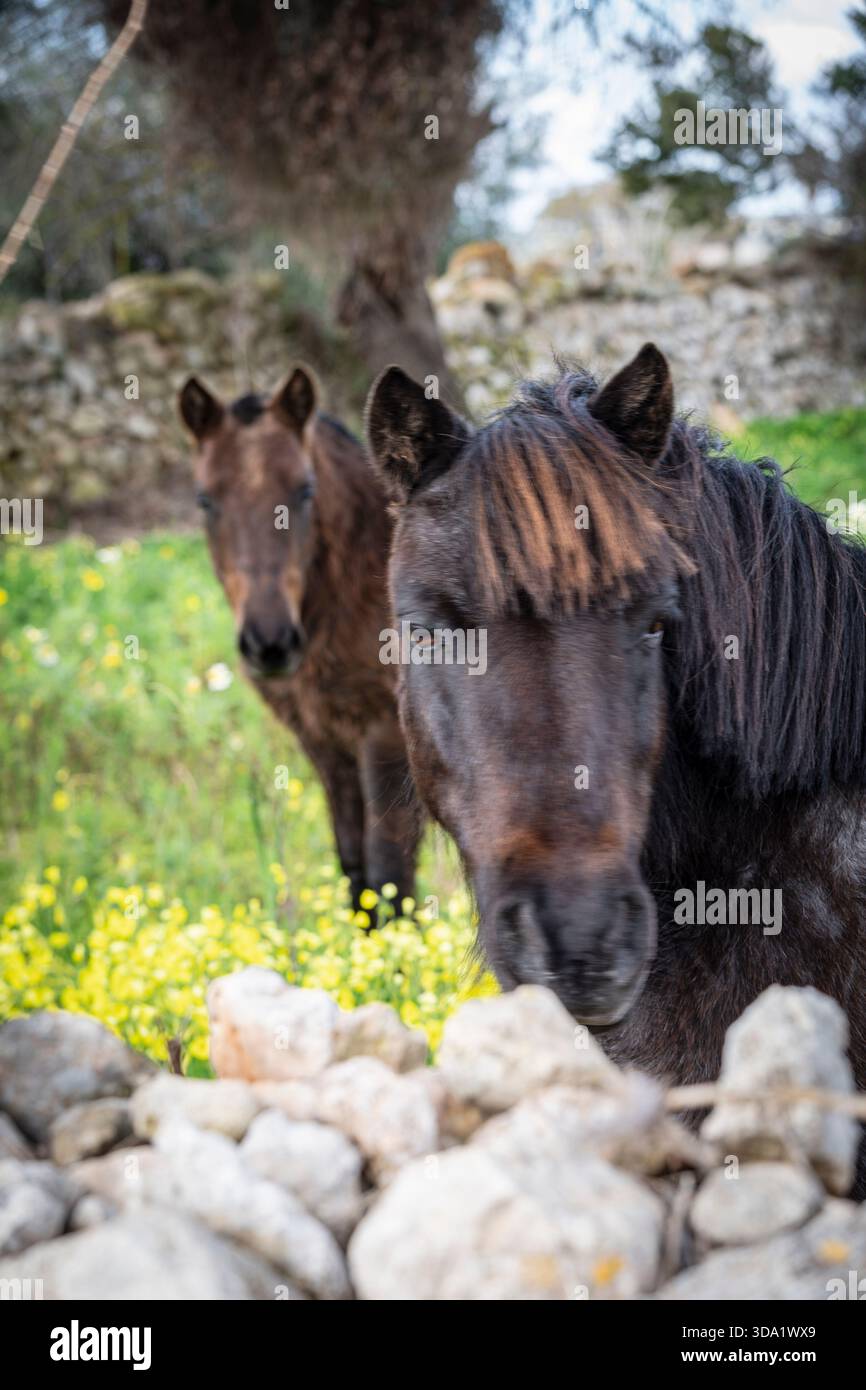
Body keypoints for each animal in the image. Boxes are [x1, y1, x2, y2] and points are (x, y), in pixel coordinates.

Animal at [179, 364, 422, 912]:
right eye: (204, 500)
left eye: (305, 490)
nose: (269, 643)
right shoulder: (323, 740)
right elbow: (356, 870)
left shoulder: (385, 738)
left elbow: (389, 880)